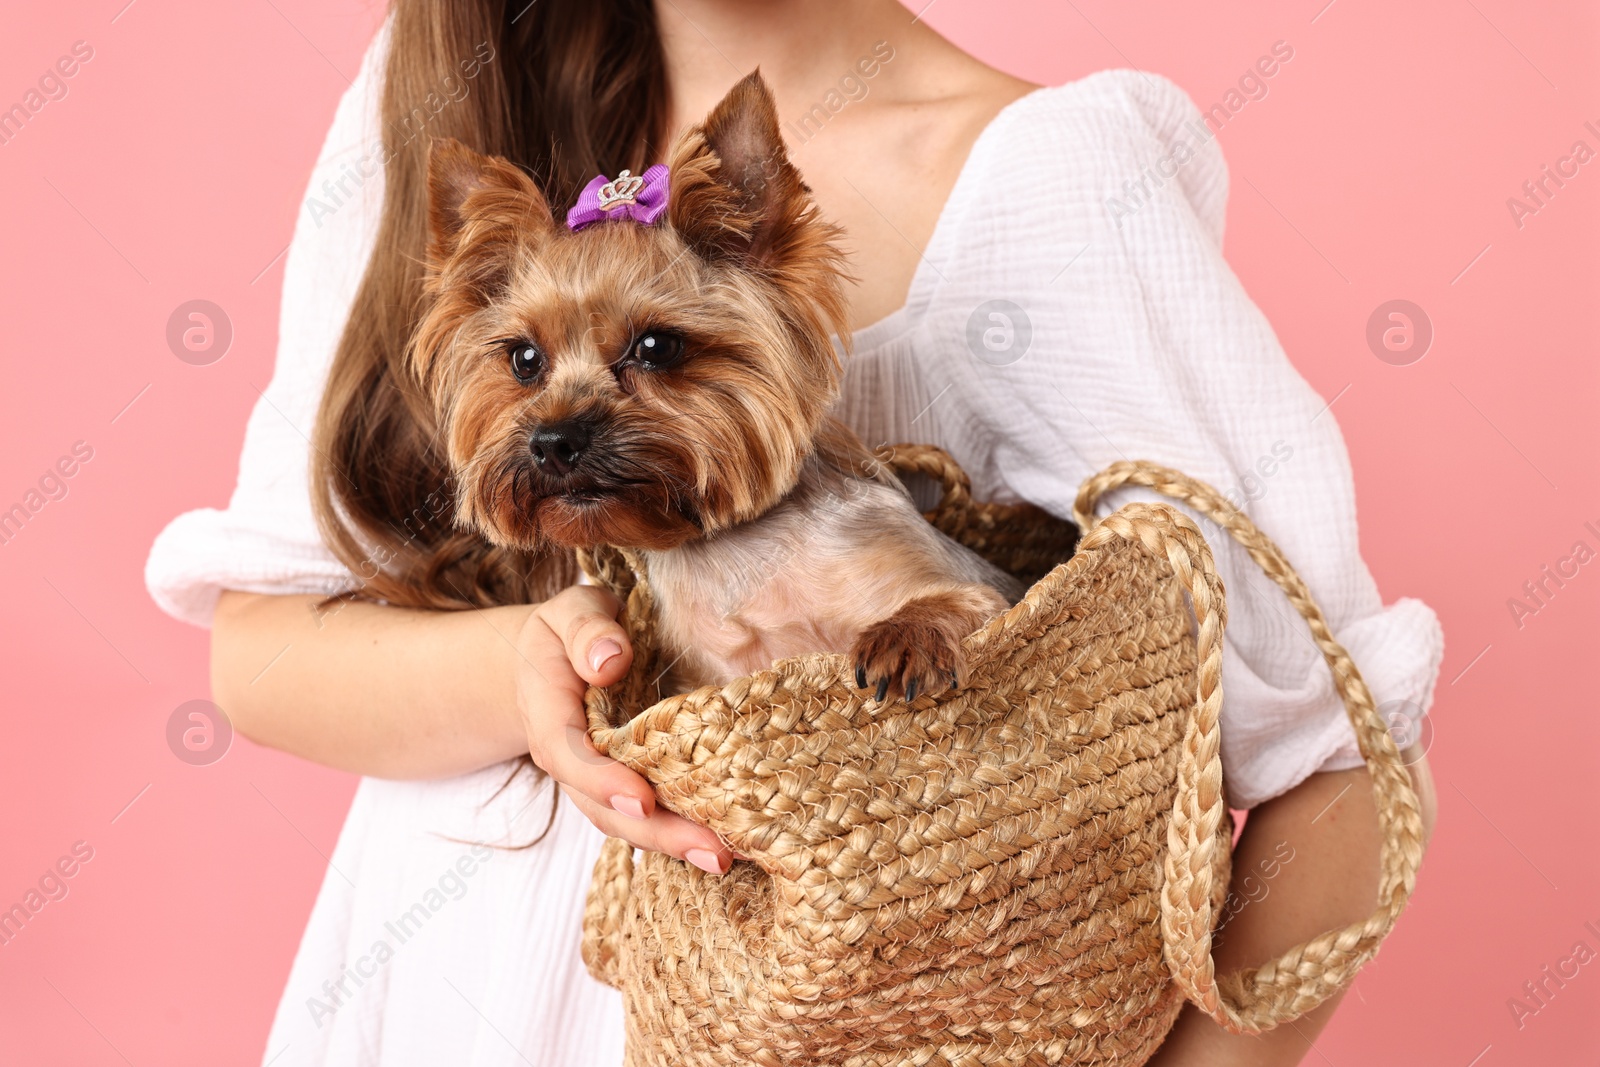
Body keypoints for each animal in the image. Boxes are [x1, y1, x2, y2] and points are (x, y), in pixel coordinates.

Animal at [419, 70, 1017, 697]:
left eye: (656, 347)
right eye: (525, 359)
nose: (554, 441)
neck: (729, 553)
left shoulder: (974, 587)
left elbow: (961, 602)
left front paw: (906, 638)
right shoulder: (697, 677)